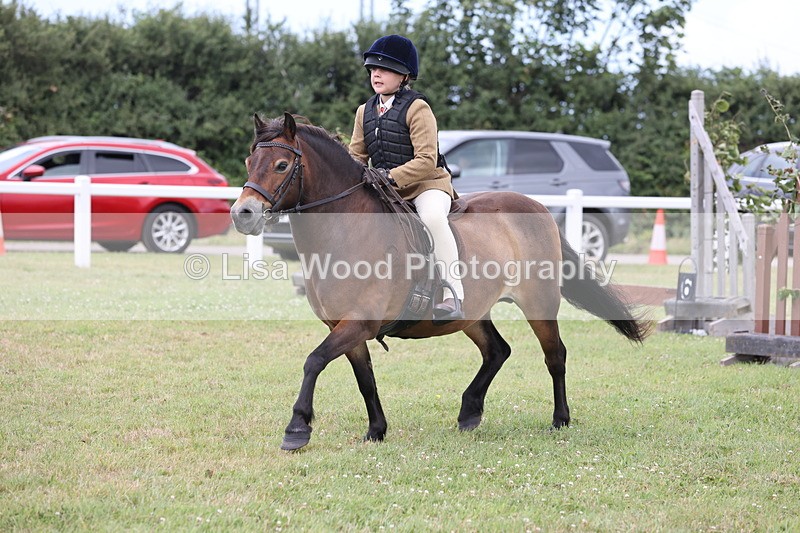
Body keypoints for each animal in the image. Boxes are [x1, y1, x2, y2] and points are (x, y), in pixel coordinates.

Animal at [230, 112, 650, 451]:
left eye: (281, 164)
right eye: (250, 161)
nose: (243, 214)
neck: (346, 231)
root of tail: (536, 206)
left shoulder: (358, 323)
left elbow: (313, 361)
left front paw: (297, 429)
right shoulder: (345, 327)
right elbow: (365, 379)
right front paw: (376, 431)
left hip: (539, 302)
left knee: (555, 355)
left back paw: (560, 420)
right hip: (471, 313)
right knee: (497, 351)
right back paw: (469, 412)